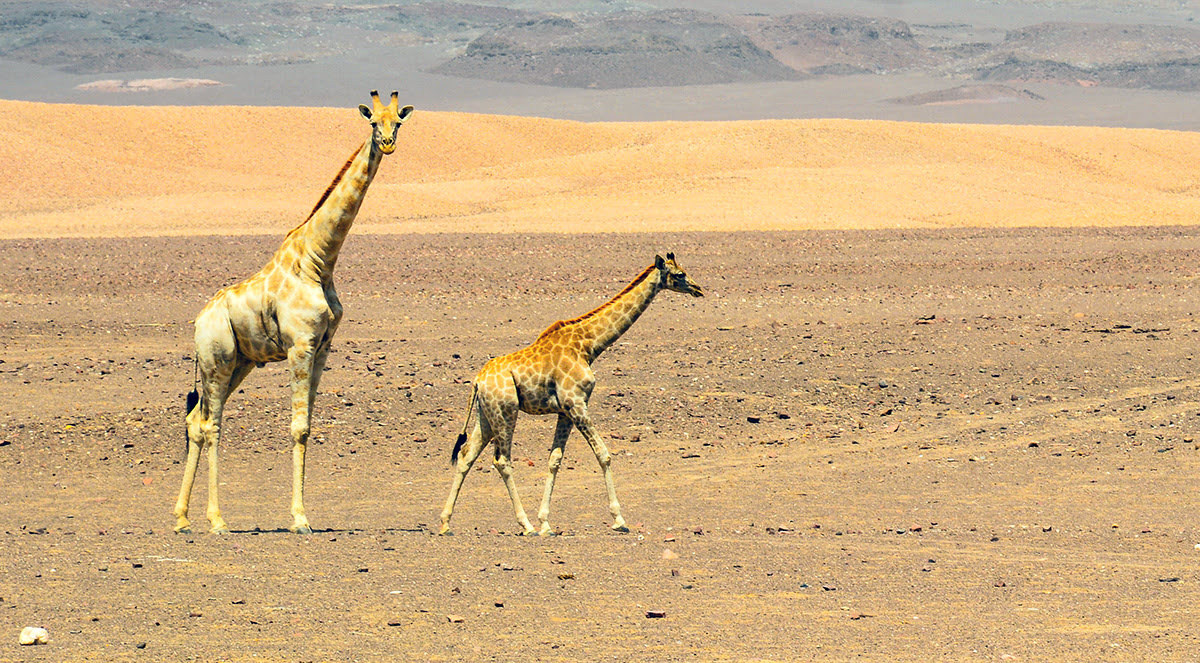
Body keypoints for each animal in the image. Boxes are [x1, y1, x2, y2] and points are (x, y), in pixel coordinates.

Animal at [171, 89, 417, 533]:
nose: (388, 143)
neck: (319, 260)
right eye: (373, 122)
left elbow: (309, 426)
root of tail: (198, 321)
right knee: (212, 423)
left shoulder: (321, 348)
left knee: (196, 421)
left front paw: (303, 514)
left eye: (399, 122)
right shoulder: (299, 345)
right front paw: (299, 518)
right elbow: (298, 428)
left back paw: (182, 518)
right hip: (217, 361)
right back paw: (216, 520)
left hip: (239, 363)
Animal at [441, 251, 700, 535]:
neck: (589, 344)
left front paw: (546, 523)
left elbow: (554, 459)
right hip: (505, 412)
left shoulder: (565, 411)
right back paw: (526, 525)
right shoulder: (576, 403)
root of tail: (477, 381)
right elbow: (604, 455)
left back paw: (445, 523)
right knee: (502, 460)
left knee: (466, 455)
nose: (698, 288)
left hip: (486, 415)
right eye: (679, 274)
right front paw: (619, 520)